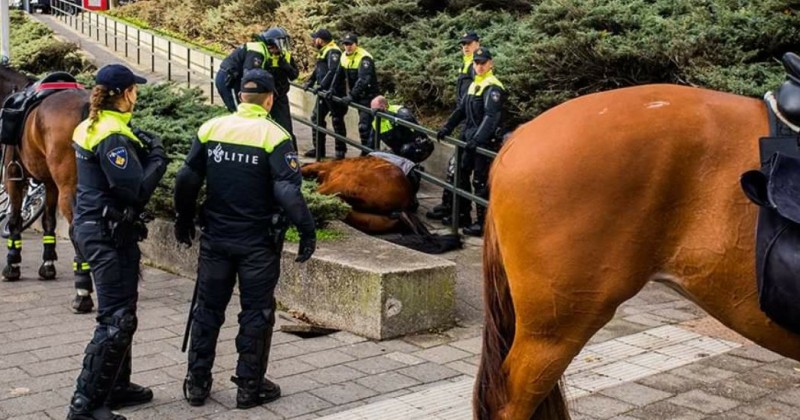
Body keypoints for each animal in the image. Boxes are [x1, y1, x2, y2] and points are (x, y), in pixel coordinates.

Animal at [0, 65, 92, 312]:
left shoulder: (13, 178)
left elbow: (15, 220)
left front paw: (12, 266)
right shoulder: (50, 184)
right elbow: (48, 221)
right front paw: (48, 264)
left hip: (69, 187)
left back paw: (83, 294)